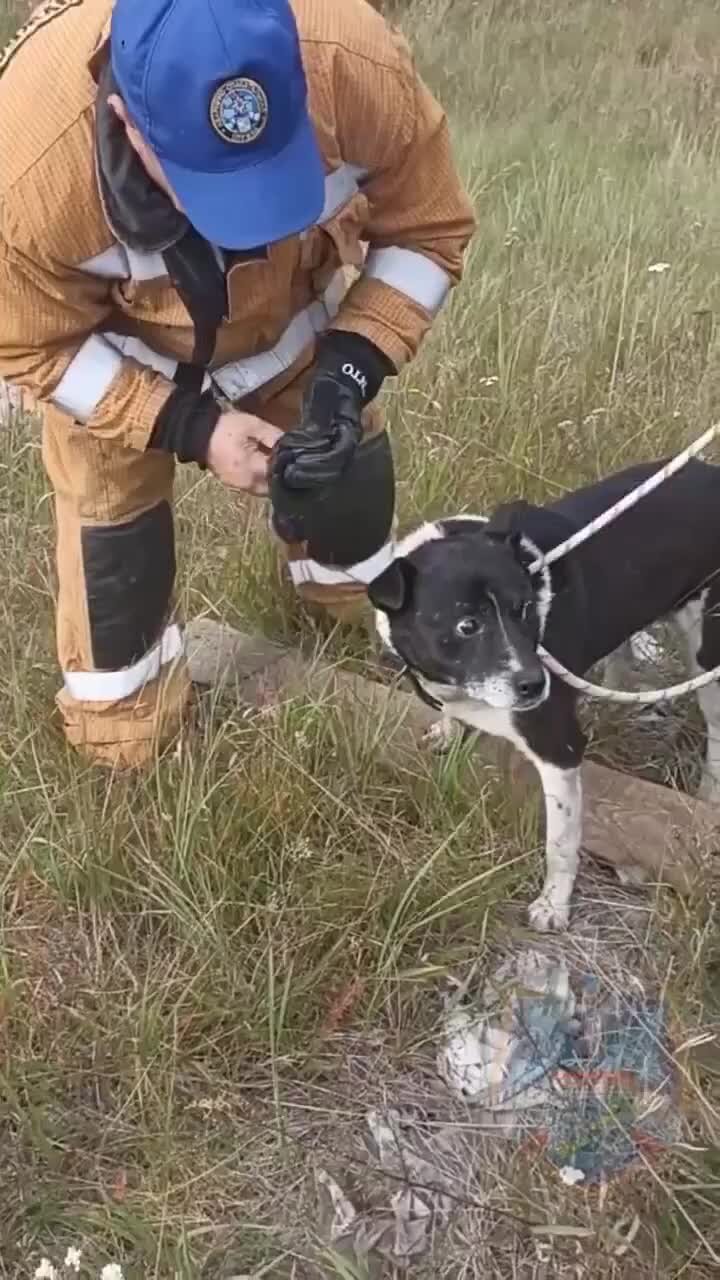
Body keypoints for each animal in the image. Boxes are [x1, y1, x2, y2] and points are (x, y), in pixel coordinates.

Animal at [366, 460, 717, 931]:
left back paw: (708, 796)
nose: (536, 684)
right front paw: (447, 729)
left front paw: (554, 905)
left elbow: (561, 843)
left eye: (524, 609)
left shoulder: (558, 750)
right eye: (467, 625)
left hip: (707, 650)